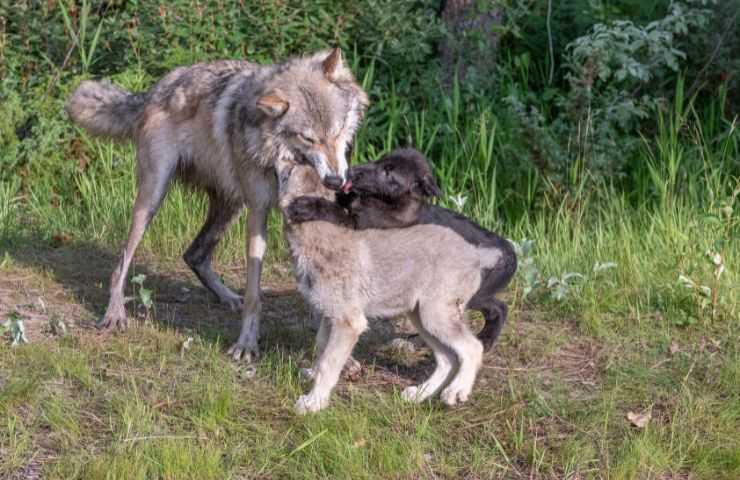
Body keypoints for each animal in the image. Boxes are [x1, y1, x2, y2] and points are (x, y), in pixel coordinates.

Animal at [64, 48, 368, 362]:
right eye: (307, 138)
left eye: (338, 131)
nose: (335, 180)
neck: (281, 154)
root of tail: (156, 88)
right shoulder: (258, 211)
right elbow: (254, 294)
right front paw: (247, 344)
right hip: (153, 197)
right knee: (123, 262)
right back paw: (115, 312)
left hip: (229, 206)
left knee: (193, 254)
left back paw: (227, 297)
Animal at [274, 152, 516, 414]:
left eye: (288, 173)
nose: (290, 155)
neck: (320, 238)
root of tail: (477, 254)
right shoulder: (330, 316)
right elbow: (321, 346)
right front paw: (313, 375)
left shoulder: (349, 322)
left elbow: (329, 362)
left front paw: (314, 402)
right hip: (422, 317)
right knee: (447, 358)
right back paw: (419, 394)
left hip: (436, 315)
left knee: (472, 347)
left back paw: (457, 391)